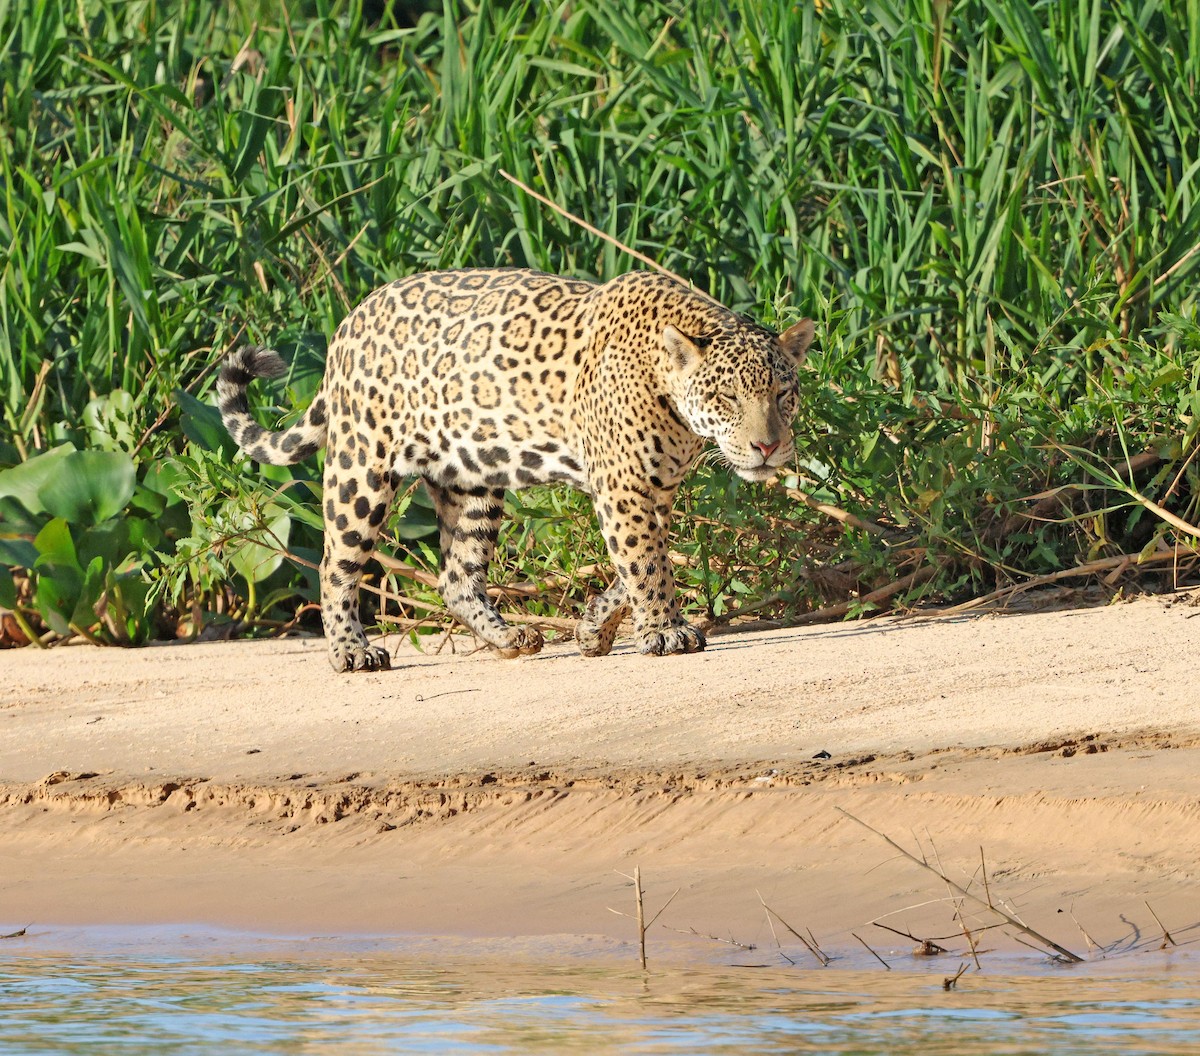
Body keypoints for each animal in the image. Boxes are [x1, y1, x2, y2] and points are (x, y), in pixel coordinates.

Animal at [218, 268, 814, 672]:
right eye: (727, 396)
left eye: (784, 394)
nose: (768, 446)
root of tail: (348, 323)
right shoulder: (622, 488)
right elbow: (645, 564)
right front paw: (666, 632)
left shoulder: (654, 490)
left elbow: (635, 568)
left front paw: (594, 630)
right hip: (362, 467)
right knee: (334, 564)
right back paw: (351, 651)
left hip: (471, 482)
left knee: (456, 576)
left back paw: (510, 639)